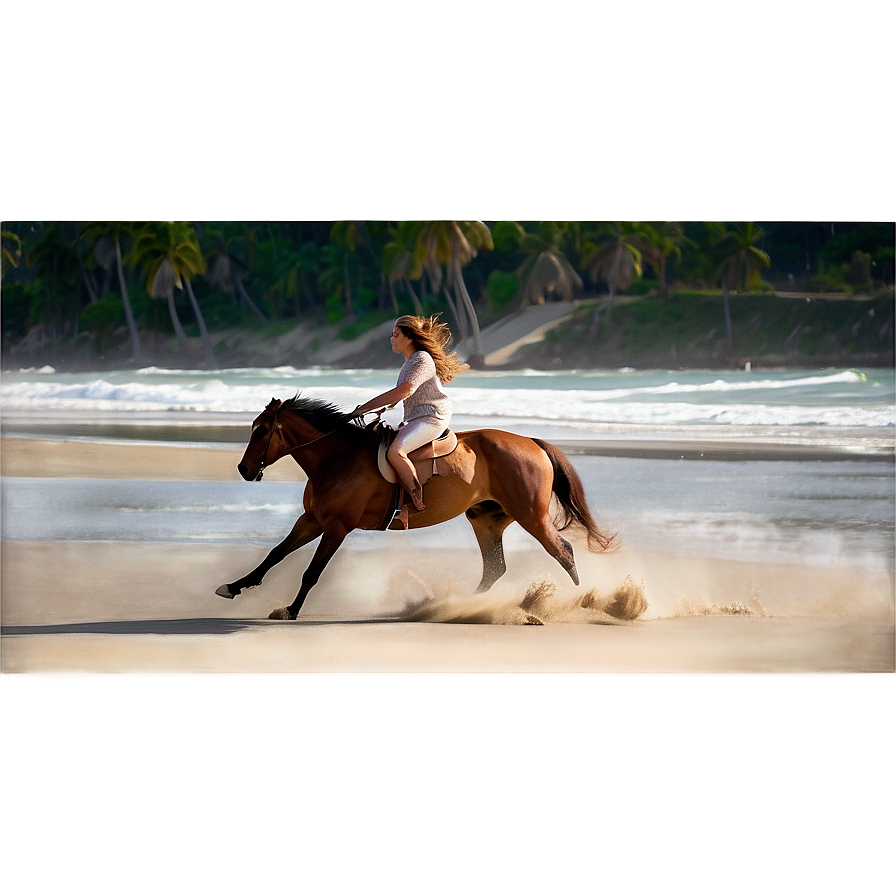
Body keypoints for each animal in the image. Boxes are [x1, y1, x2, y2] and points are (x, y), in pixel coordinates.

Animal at [215, 396, 616, 620]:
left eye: (261, 430)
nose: (244, 469)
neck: (336, 459)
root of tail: (531, 441)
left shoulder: (337, 527)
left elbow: (311, 572)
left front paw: (291, 610)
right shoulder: (312, 520)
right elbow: (275, 553)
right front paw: (235, 586)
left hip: (531, 516)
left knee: (563, 552)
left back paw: (576, 604)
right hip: (485, 519)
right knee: (495, 568)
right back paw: (463, 606)